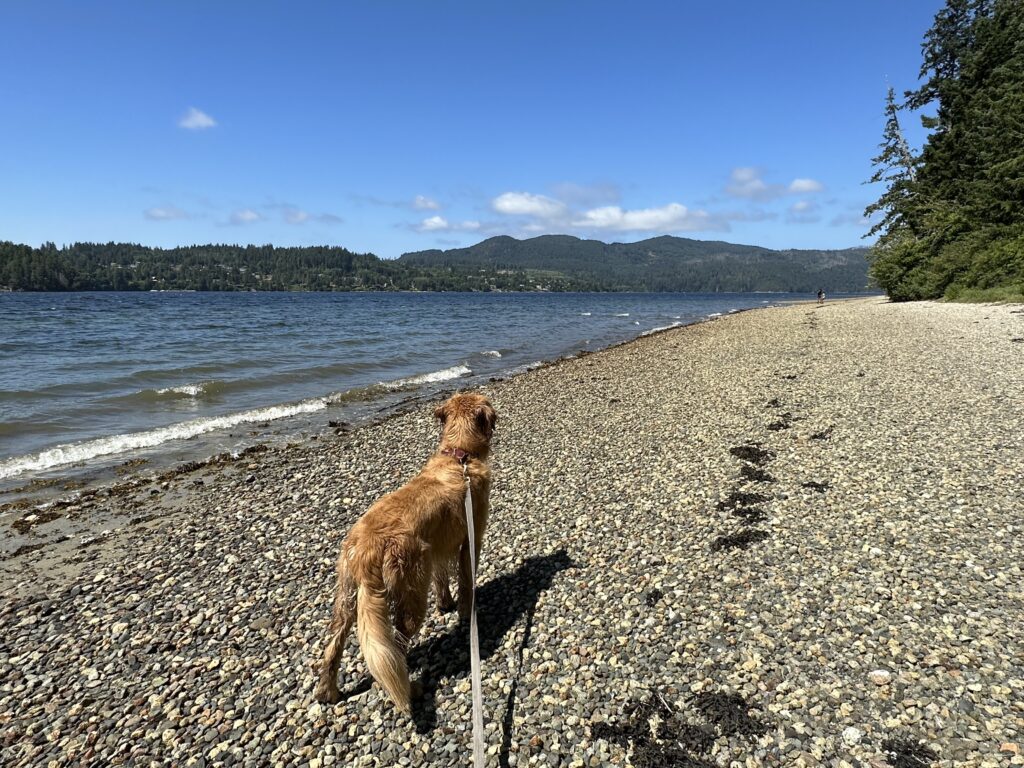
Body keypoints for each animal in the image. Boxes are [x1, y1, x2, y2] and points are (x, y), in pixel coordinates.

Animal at [315, 397, 499, 716]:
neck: (459, 456)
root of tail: (366, 548)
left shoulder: (437, 548)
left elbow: (442, 578)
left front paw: (446, 604)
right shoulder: (470, 537)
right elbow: (466, 580)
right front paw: (466, 612)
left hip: (346, 597)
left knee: (334, 644)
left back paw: (328, 691)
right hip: (410, 589)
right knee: (398, 647)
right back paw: (411, 689)